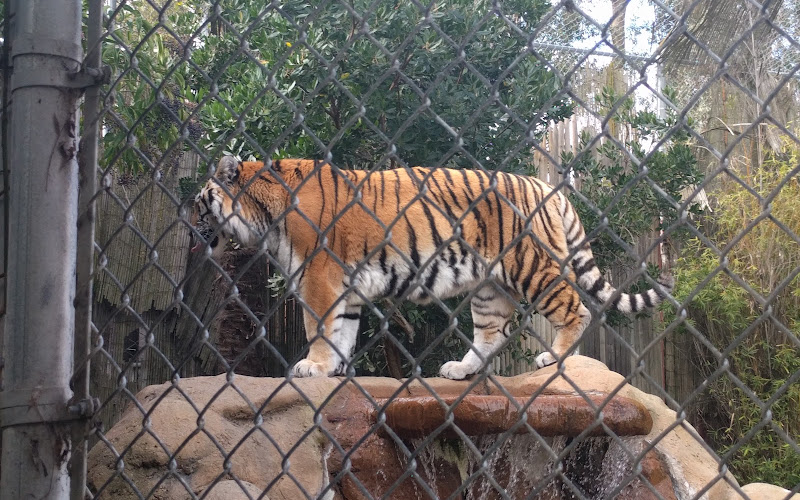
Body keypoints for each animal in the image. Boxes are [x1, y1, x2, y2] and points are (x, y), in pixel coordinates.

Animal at [192, 156, 673, 380]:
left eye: (199, 202)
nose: (188, 223)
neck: (264, 216)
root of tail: (545, 185)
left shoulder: (319, 279)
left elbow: (320, 327)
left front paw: (313, 366)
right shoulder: (345, 287)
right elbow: (342, 331)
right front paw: (334, 369)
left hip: (531, 266)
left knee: (578, 309)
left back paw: (552, 356)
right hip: (489, 286)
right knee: (491, 333)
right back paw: (461, 370)